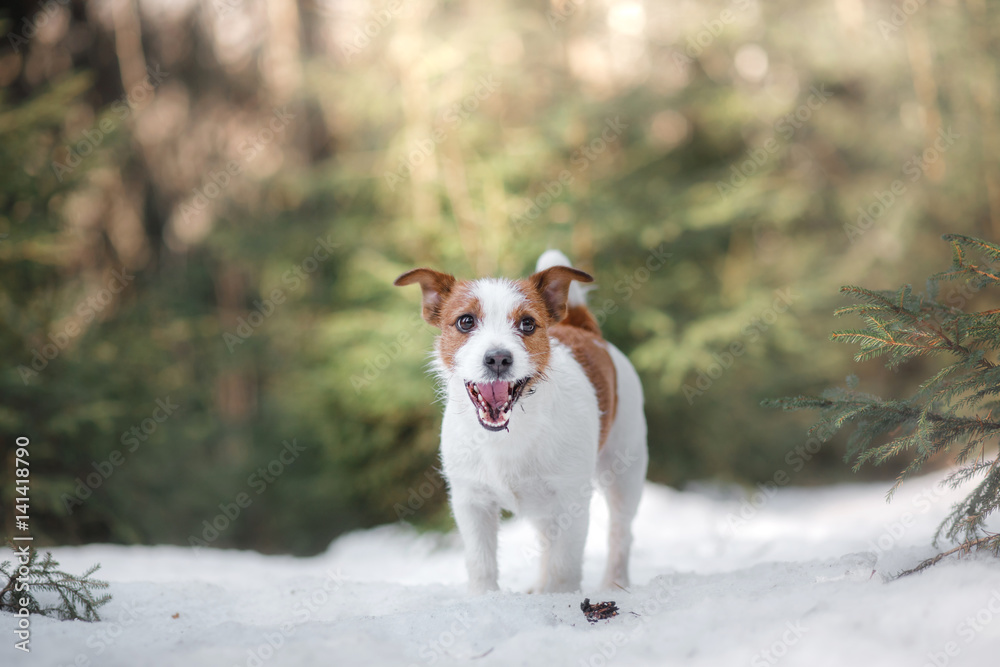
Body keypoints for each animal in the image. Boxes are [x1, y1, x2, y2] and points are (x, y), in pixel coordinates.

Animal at [394, 250, 652, 596]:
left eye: (527, 323)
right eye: (465, 321)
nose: (498, 358)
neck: (509, 435)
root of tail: (586, 330)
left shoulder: (571, 500)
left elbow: (564, 567)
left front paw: (558, 599)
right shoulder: (471, 502)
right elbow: (481, 563)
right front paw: (484, 599)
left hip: (624, 472)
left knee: (620, 532)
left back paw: (614, 585)